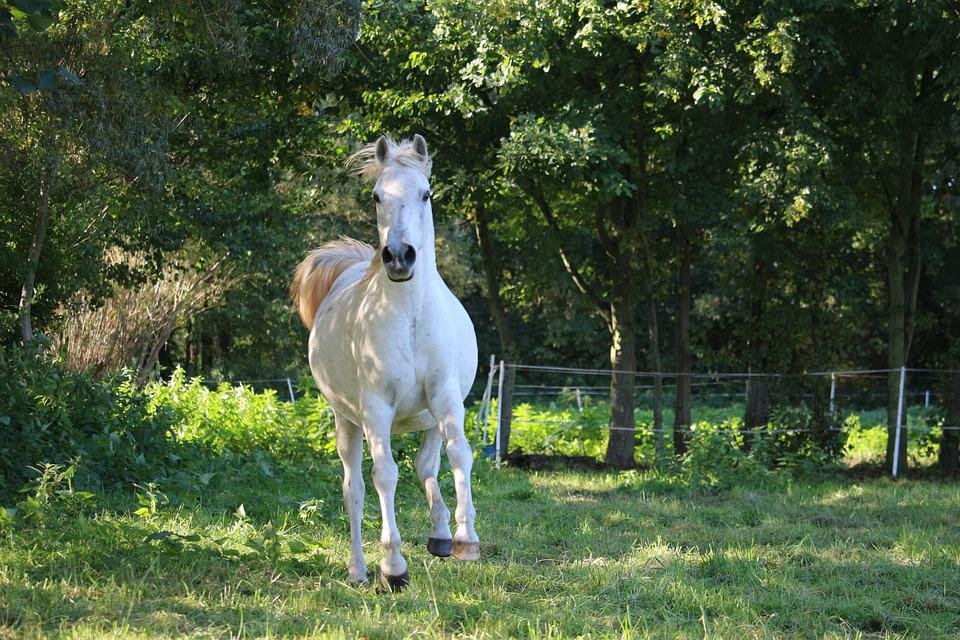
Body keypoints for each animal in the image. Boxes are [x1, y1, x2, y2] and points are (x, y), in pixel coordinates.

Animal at [290, 134, 480, 591]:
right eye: (377, 196)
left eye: (426, 193)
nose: (398, 256)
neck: (410, 317)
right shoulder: (377, 408)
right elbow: (384, 476)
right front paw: (393, 567)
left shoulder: (445, 396)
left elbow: (459, 454)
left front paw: (466, 538)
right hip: (347, 422)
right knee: (355, 489)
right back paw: (359, 569)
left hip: (427, 418)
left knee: (427, 465)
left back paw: (441, 535)